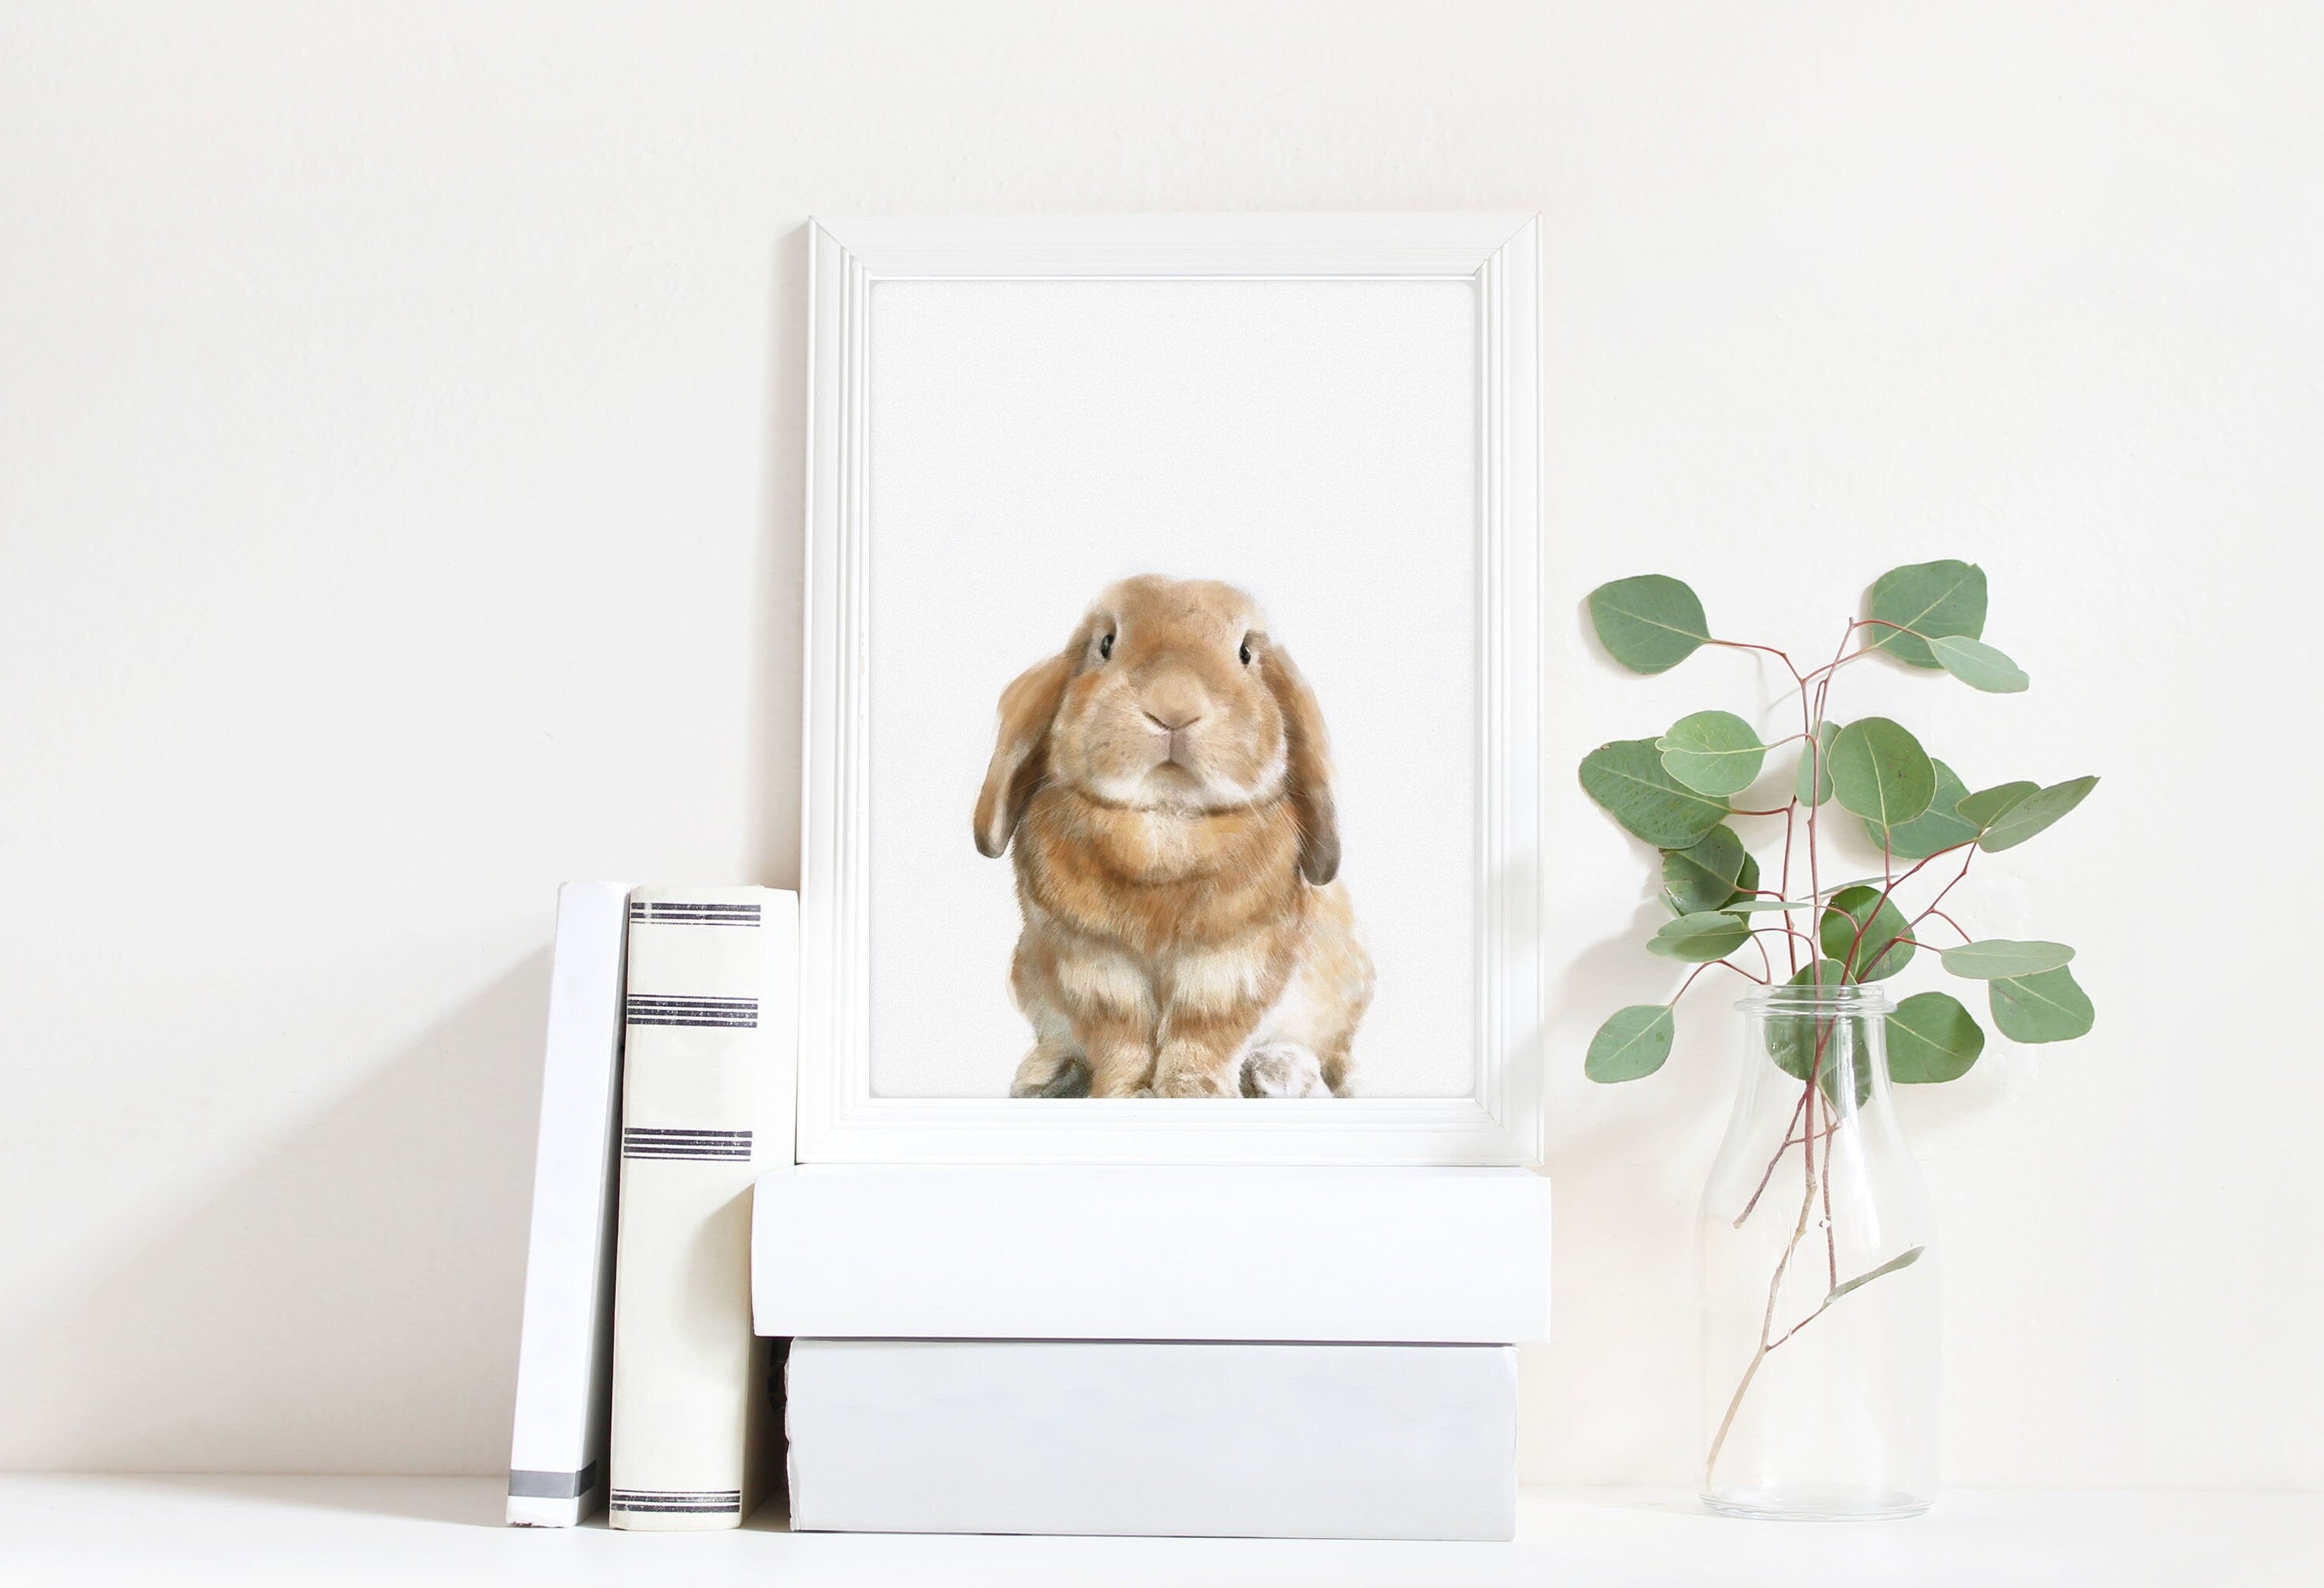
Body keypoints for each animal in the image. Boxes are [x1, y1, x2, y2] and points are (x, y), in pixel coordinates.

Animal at [973, 575, 1374, 1099]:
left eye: (1245, 653)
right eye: (1106, 644)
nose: (1174, 707)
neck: (1167, 819)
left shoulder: (1231, 963)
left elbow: (1202, 1033)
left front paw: (1193, 1092)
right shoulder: (1095, 964)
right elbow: (1121, 1037)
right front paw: (1123, 1092)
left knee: (1325, 1056)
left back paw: (1279, 1073)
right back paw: (1044, 1073)